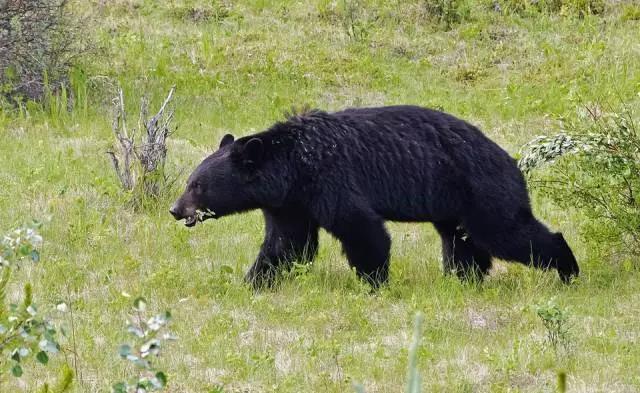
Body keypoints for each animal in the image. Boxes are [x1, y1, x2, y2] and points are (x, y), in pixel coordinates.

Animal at [170, 105, 580, 286]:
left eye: (197, 185)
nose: (176, 209)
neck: (293, 166)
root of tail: (512, 159)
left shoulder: (331, 179)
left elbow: (361, 229)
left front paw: (374, 282)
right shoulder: (290, 203)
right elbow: (286, 244)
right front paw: (254, 281)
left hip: (481, 188)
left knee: (506, 232)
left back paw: (567, 269)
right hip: (452, 203)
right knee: (461, 241)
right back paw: (464, 278)